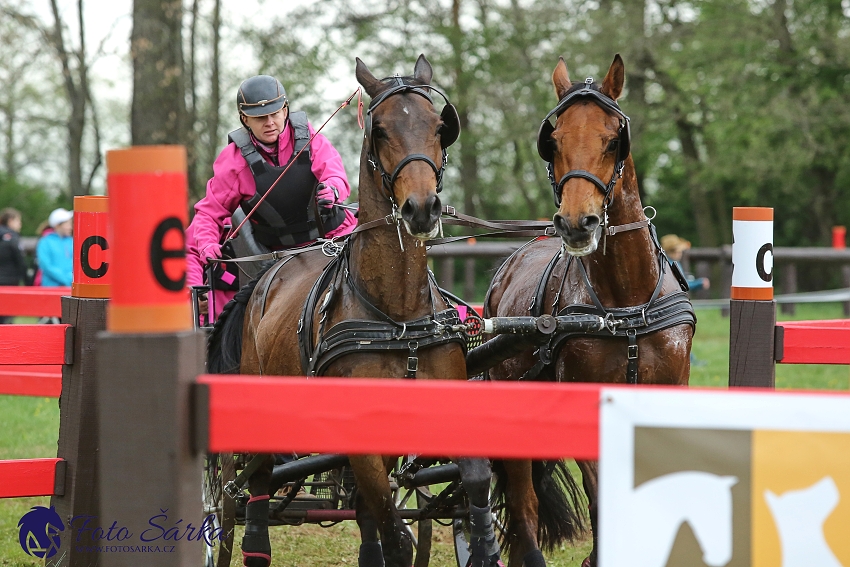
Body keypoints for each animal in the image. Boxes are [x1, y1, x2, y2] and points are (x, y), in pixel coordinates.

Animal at [210, 55, 500, 567]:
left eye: (438, 126)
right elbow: (394, 534)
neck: (396, 315)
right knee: (253, 486)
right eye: (379, 129)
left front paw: (484, 542)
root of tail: (267, 272)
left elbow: (474, 479)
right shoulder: (362, 443)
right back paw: (252, 545)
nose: (422, 208)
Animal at [484, 54, 696, 567]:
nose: (577, 223)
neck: (627, 304)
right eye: (554, 140)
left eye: (613, 137)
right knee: (522, 500)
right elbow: (601, 495)